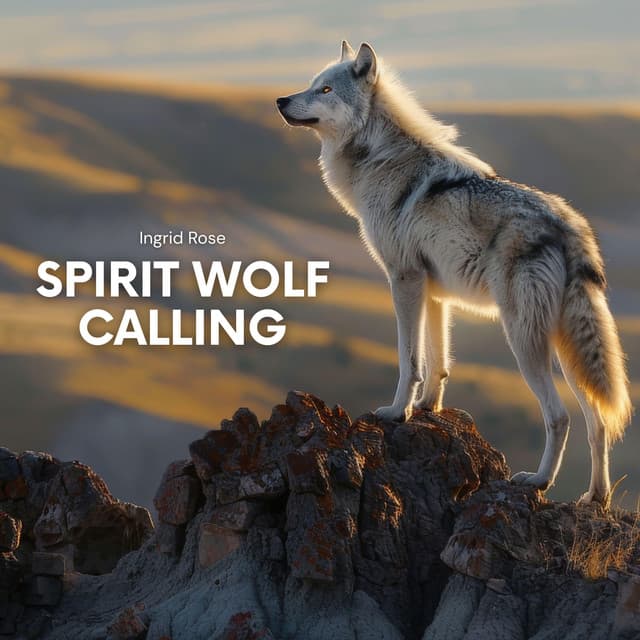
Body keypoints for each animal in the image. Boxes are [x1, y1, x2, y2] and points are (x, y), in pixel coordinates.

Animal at [276, 40, 632, 505]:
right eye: (313, 85)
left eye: (325, 89)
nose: (280, 100)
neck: (380, 156)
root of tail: (567, 225)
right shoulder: (434, 292)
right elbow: (438, 361)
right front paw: (429, 408)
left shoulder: (403, 279)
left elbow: (409, 359)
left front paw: (397, 412)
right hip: (567, 350)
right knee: (599, 422)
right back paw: (595, 498)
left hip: (524, 340)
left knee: (559, 417)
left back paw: (537, 482)